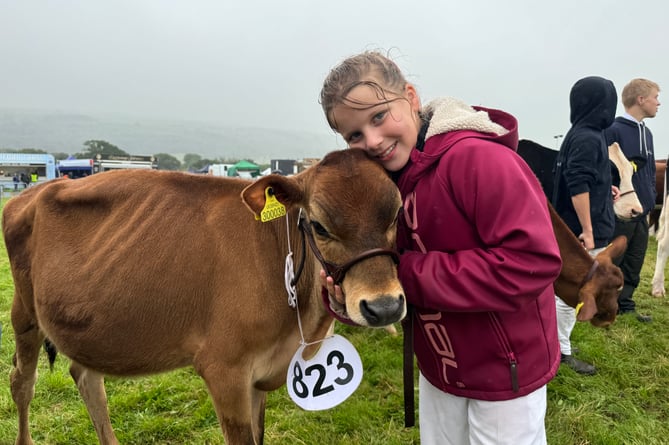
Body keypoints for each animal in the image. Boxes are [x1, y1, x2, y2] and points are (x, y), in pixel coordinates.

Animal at [2, 149, 404, 444]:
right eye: (320, 226)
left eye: (397, 214)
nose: (384, 307)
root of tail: (34, 190)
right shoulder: (224, 370)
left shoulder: (260, 374)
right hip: (24, 313)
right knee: (22, 383)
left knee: (87, 379)